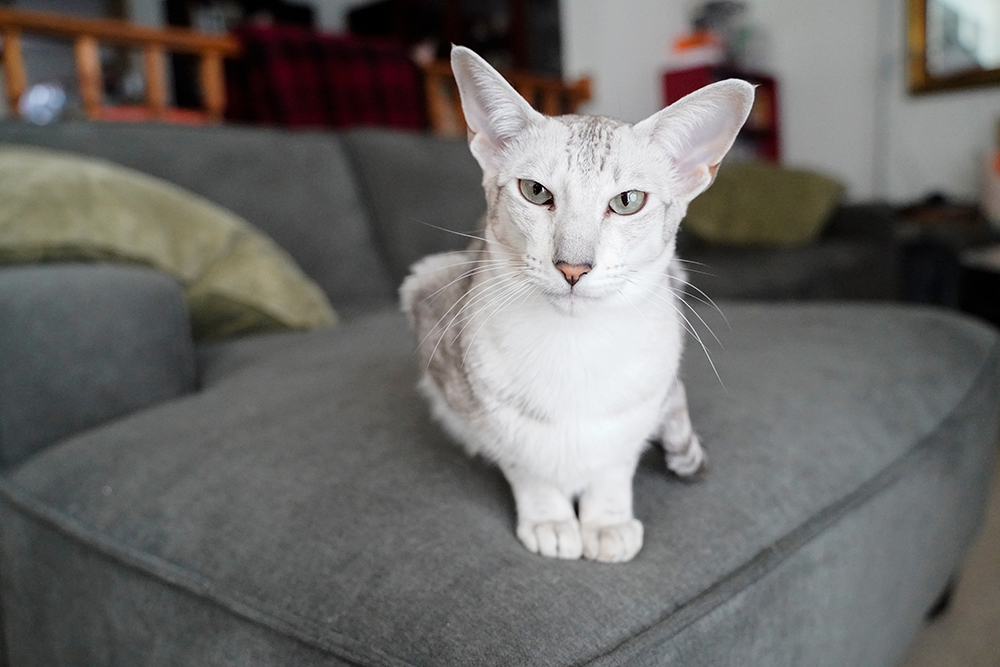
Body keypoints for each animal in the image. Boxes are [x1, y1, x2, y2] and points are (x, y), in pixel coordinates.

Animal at [398, 45, 752, 564]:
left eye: (627, 201)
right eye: (535, 192)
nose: (572, 267)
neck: (575, 348)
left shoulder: (639, 405)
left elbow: (615, 461)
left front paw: (606, 520)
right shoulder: (469, 385)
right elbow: (523, 460)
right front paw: (550, 517)